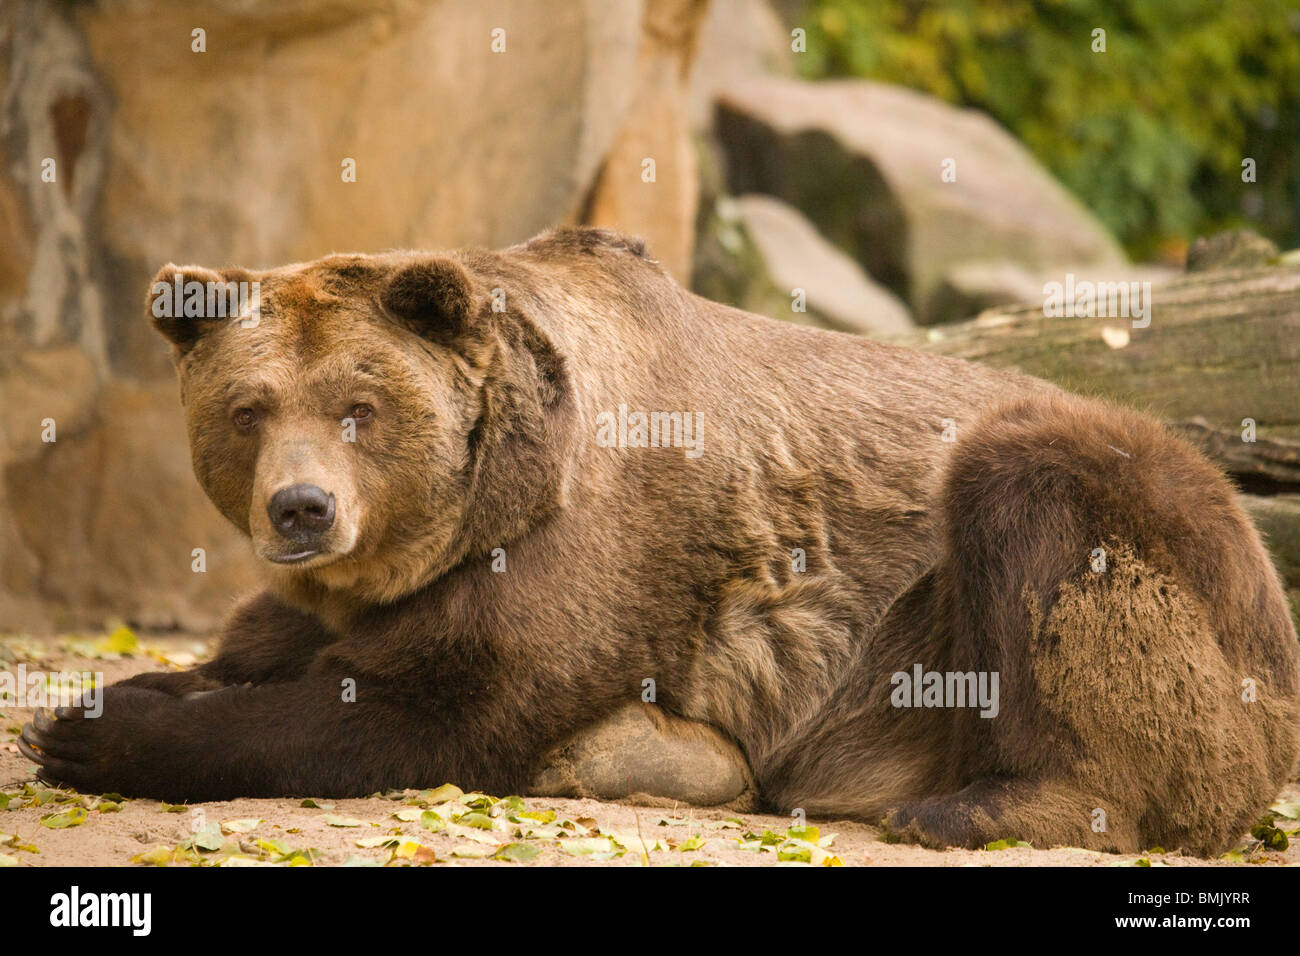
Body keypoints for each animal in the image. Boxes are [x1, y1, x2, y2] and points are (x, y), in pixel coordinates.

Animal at [20, 227, 1300, 855]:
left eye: (358, 406)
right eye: (249, 409)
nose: (301, 508)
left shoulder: (585, 551)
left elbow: (422, 709)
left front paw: (89, 729)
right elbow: (264, 646)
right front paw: (124, 689)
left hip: (1116, 563)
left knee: (1034, 501)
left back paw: (977, 805)